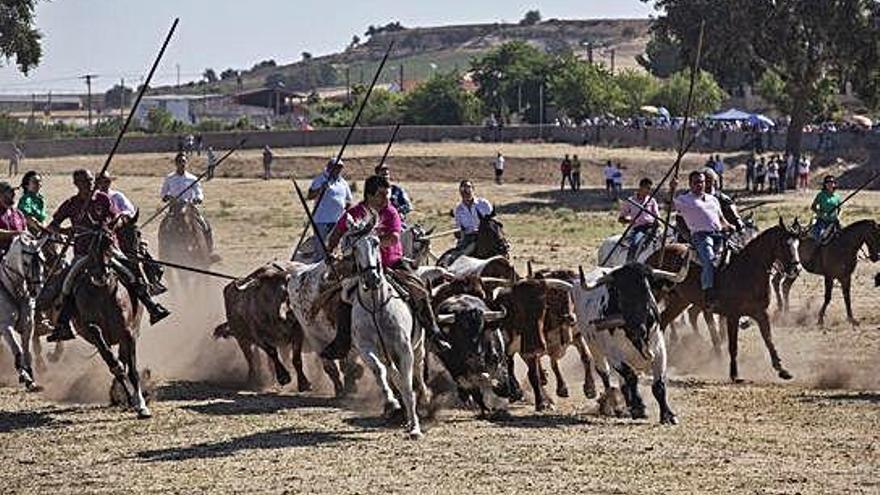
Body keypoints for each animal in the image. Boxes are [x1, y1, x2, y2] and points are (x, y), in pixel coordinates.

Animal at [0, 232, 47, 392]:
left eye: (43, 261)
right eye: (26, 263)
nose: (37, 291)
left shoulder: (28, 324)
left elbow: (27, 351)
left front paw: (31, 378)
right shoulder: (5, 326)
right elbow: (18, 350)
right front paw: (25, 377)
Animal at [213, 264, 310, 392]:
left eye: (286, 293)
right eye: (266, 295)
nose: (285, 315)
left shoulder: (297, 332)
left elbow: (296, 359)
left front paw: (303, 383)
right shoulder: (259, 338)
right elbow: (272, 353)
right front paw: (283, 377)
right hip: (242, 339)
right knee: (251, 360)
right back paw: (253, 380)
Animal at [648, 221, 804, 384]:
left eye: (797, 244)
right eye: (784, 244)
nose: (796, 268)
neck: (746, 270)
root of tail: (654, 255)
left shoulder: (761, 313)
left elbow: (769, 340)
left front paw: (782, 370)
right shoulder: (733, 316)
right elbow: (733, 345)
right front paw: (734, 375)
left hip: (679, 301)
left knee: (664, 321)